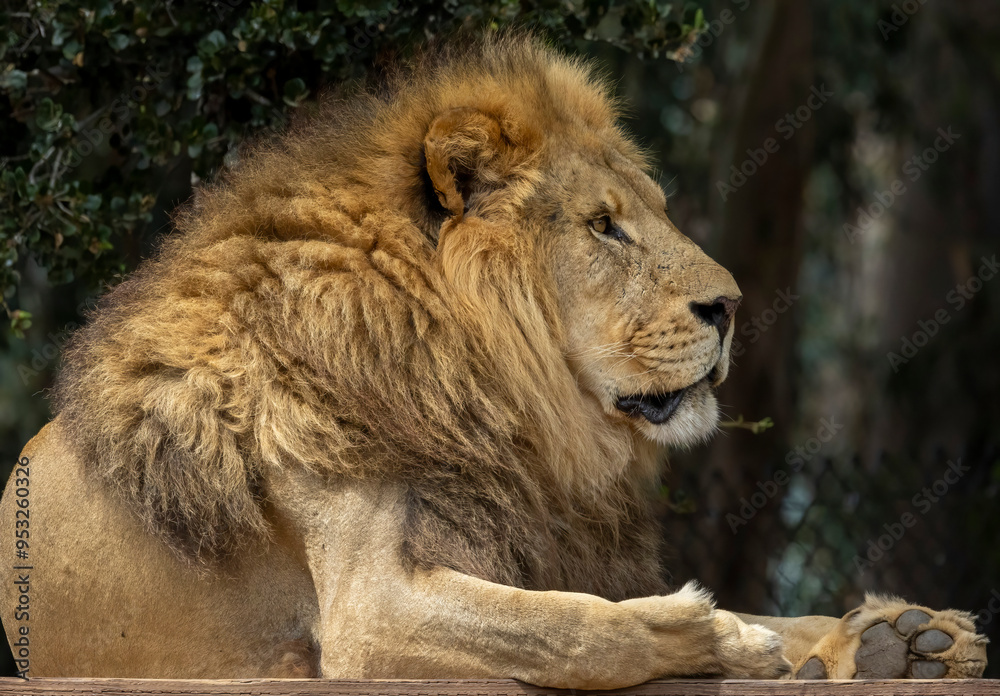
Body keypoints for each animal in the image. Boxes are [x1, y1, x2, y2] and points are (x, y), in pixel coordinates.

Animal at [0, 34, 987, 686]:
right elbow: (577, 628)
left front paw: (901, 638)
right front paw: (711, 639)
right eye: (603, 226)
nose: (733, 306)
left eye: (654, 212)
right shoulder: (366, 611)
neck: (483, 390)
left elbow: (760, 612)